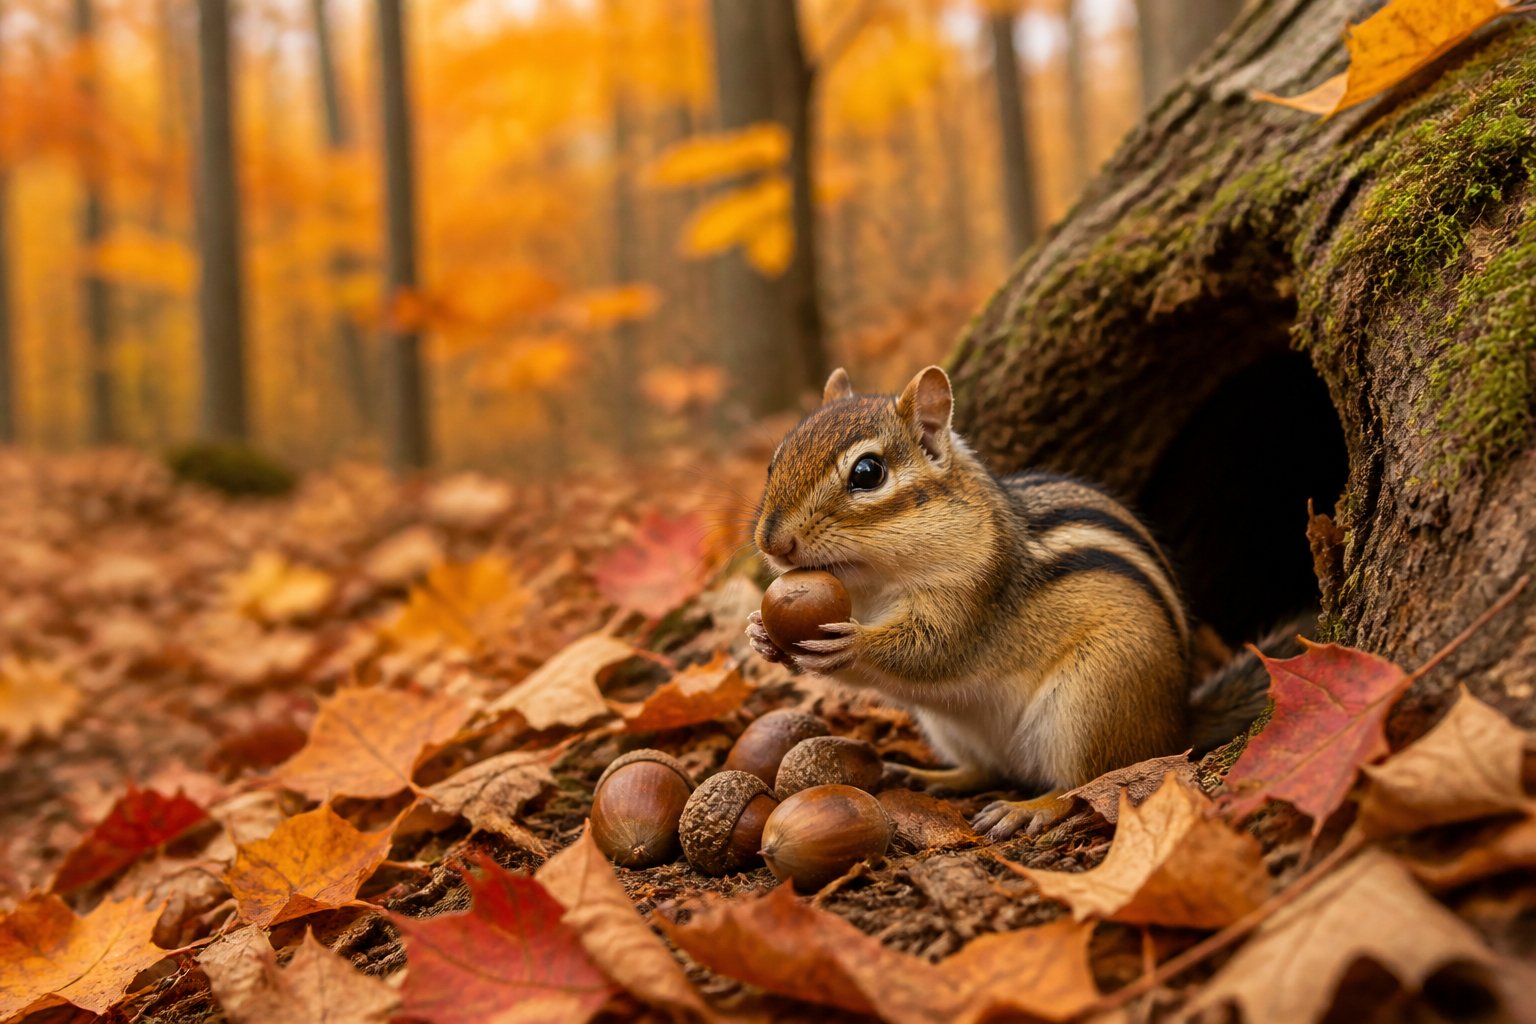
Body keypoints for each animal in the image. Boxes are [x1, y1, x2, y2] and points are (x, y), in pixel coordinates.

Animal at [746, 365, 1271, 840]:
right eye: (774, 461)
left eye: (868, 473)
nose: (773, 543)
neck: (872, 584)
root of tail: (1178, 718)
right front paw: (760, 634)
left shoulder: (976, 593)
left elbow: (931, 652)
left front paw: (852, 645)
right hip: (949, 725)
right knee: (986, 769)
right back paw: (926, 775)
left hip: (1094, 699)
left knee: (1087, 783)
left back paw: (1027, 809)